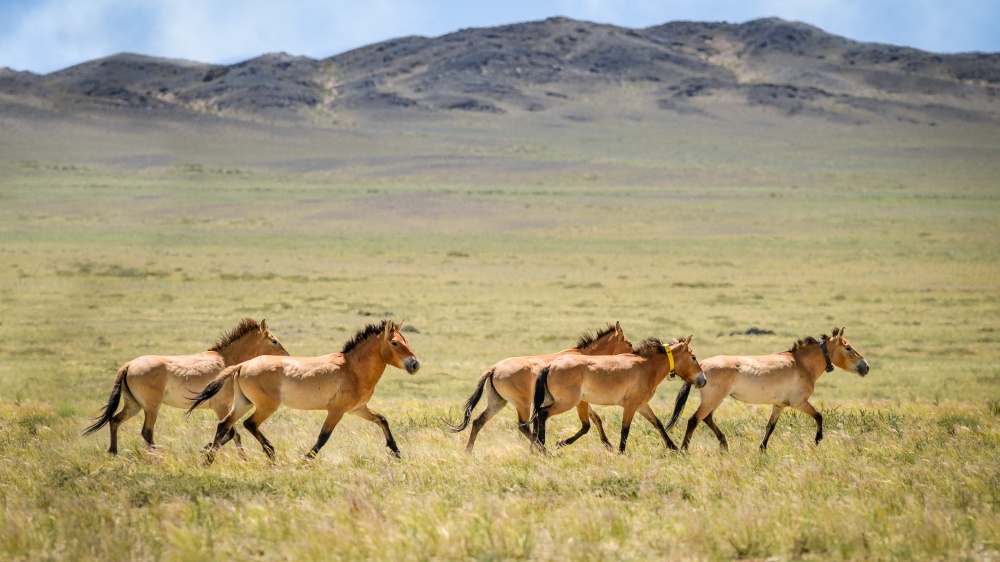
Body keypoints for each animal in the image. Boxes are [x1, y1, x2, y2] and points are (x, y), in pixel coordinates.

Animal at [83, 318, 290, 454]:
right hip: (151, 407)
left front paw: (240, 458)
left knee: (115, 420)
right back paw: (156, 458)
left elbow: (234, 434)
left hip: (134, 405)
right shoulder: (221, 406)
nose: (287, 357)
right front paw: (208, 450)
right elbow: (230, 433)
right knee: (146, 432)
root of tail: (127, 366)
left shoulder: (225, 407)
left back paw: (113, 452)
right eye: (274, 340)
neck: (226, 360)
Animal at [189, 320, 419, 462]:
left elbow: (382, 420)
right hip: (266, 406)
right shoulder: (337, 411)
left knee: (225, 425)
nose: (415, 364)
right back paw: (271, 453)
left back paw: (208, 459)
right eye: (395, 343)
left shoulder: (358, 409)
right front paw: (305, 460)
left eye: (407, 341)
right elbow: (323, 437)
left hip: (243, 402)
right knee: (249, 424)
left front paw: (396, 452)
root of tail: (242, 365)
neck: (352, 368)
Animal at [447, 322, 633, 453]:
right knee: (523, 426)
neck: (583, 356)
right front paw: (560, 443)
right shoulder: (577, 401)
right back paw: (543, 450)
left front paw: (608, 445)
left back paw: (468, 452)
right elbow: (587, 424)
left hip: (497, 403)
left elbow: (596, 419)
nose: (634, 354)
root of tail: (494, 369)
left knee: (478, 421)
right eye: (629, 344)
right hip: (522, 404)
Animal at [531, 336, 705, 454]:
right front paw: (621, 452)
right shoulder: (630, 406)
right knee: (543, 413)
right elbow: (625, 429)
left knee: (544, 417)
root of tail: (551, 366)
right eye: (693, 357)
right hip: (566, 403)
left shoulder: (642, 405)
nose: (703, 380)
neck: (647, 366)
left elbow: (658, 424)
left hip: (575, 402)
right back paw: (543, 447)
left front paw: (674, 448)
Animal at [667, 326, 870, 451]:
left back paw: (724, 444)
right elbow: (819, 415)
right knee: (694, 420)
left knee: (707, 418)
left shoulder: (779, 405)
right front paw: (817, 439)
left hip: (715, 399)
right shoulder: (799, 402)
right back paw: (684, 449)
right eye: (848, 348)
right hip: (713, 398)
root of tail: (701, 367)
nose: (866, 366)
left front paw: (762, 449)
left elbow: (770, 427)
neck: (801, 364)